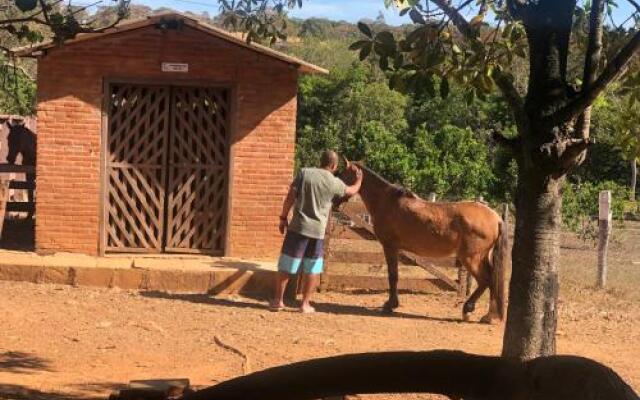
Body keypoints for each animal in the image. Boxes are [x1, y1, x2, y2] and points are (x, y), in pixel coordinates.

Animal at [340, 159, 510, 322]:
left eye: (342, 175)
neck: (387, 201)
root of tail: (495, 218)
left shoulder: (390, 247)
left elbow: (392, 276)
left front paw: (390, 305)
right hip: (481, 257)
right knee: (492, 280)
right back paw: (489, 316)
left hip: (471, 258)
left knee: (486, 280)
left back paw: (469, 310)